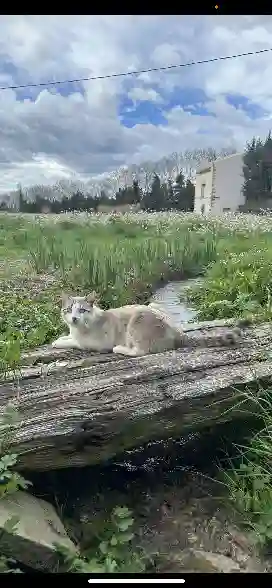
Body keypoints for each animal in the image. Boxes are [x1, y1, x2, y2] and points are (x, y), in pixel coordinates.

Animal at [51, 292, 242, 356]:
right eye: (68, 310)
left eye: (82, 310)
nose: (74, 318)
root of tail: (179, 333)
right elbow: (69, 336)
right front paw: (62, 336)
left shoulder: (94, 344)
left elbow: (75, 342)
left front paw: (58, 342)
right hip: (152, 304)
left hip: (138, 319)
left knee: (140, 351)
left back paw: (120, 349)